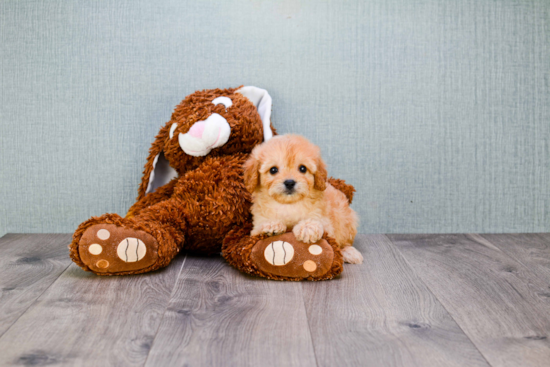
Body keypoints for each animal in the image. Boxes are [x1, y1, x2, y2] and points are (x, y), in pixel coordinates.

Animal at [244, 135, 364, 264]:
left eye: (303, 168)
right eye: (273, 170)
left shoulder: (326, 222)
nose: (289, 182)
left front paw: (307, 228)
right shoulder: (256, 226)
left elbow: (319, 223)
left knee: (344, 242)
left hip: (346, 222)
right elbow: (261, 226)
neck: (289, 204)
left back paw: (349, 252)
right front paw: (271, 225)